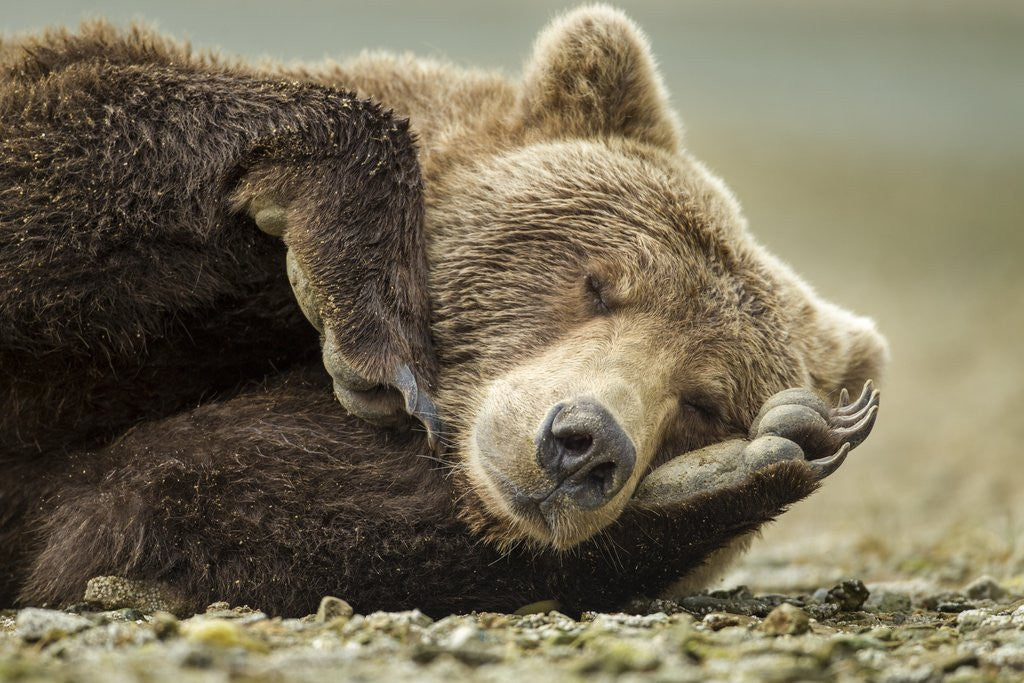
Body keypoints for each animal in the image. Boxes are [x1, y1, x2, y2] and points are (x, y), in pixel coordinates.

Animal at [0, 6, 887, 616]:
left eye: (705, 401)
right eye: (598, 282)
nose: (584, 442)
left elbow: (157, 502)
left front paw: (742, 464)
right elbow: (65, 110)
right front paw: (367, 325)